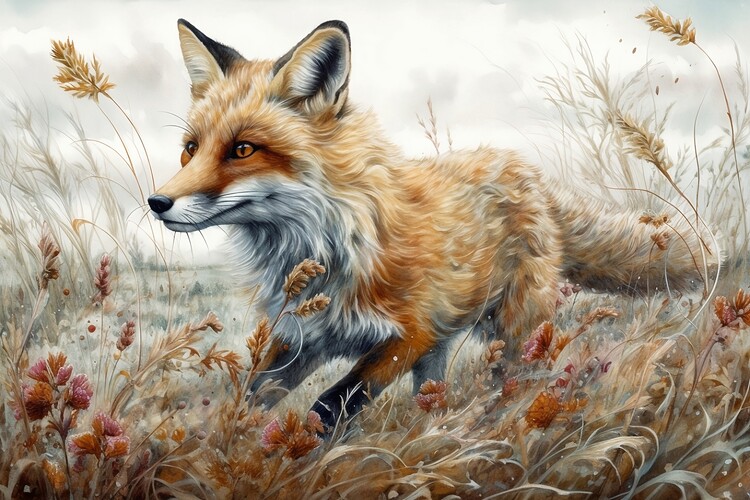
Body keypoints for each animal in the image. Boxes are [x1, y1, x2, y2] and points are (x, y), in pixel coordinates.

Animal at [148, 19, 714, 430]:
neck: (328, 245)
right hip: (442, 349)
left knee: (516, 380)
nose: (156, 202)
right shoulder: (300, 338)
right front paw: (218, 447)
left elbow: (331, 404)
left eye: (243, 150)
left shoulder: (410, 333)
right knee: (433, 396)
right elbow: (250, 397)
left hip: (512, 331)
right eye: (191, 149)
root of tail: (529, 173)